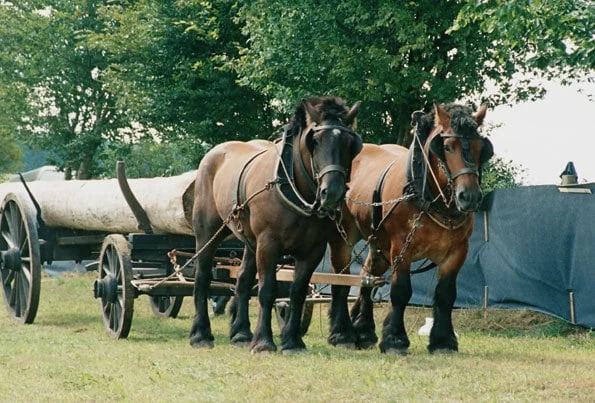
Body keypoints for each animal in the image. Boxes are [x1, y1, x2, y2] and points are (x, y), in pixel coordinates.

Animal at [191, 95, 364, 354]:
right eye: (315, 141)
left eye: (350, 142)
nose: (332, 193)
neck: (295, 188)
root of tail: (212, 155)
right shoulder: (268, 244)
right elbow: (267, 290)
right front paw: (264, 342)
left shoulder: (313, 250)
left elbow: (298, 292)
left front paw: (292, 341)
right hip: (208, 233)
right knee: (202, 277)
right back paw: (200, 334)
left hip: (250, 243)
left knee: (242, 281)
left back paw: (241, 334)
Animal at [326, 102, 494, 356]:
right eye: (447, 147)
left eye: (480, 148)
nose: (470, 196)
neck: (426, 192)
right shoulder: (401, 249)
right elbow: (401, 291)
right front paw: (395, 340)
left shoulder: (457, 252)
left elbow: (446, 295)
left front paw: (443, 341)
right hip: (343, 236)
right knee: (341, 279)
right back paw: (342, 333)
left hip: (379, 246)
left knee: (367, 277)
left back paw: (363, 331)